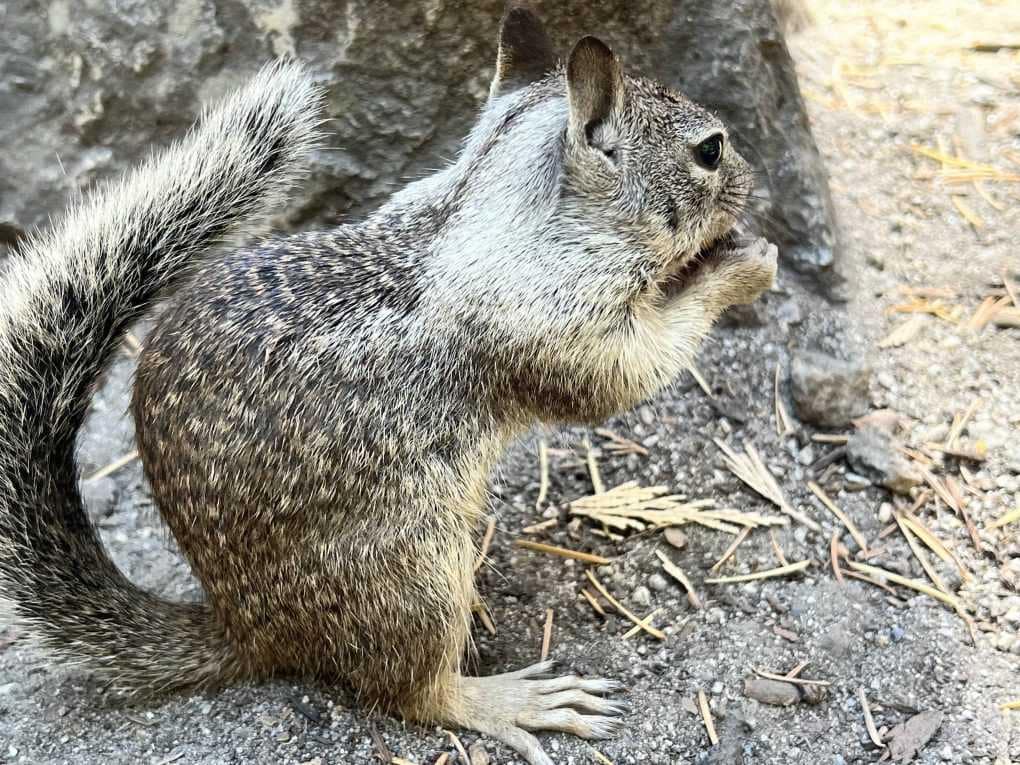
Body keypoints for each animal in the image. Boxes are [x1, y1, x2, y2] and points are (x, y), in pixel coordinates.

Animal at [0, 5, 776, 764]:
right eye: (710, 151)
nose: (754, 180)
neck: (496, 214)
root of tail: (245, 627)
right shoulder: (557, 328)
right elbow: (627, 374)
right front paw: (740, 267)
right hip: (414, 577)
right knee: (412, 692)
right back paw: (505, 698)